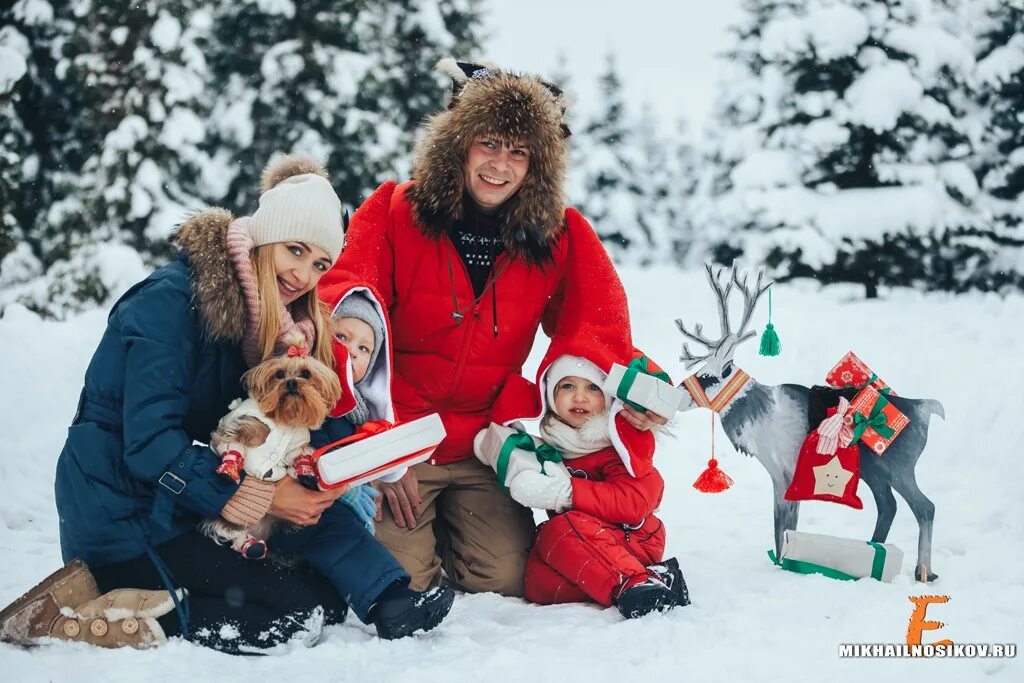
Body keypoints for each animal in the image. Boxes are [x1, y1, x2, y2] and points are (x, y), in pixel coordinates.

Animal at [200, 331, 344, 561]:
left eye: (305, 374)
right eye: (279, 374)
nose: (292, 383)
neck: (286, 418)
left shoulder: (297, 445)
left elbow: (300, 454)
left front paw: (306, 472)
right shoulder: (236, 420)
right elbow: (256, 428)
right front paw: (255, 437)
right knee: (227, 528)